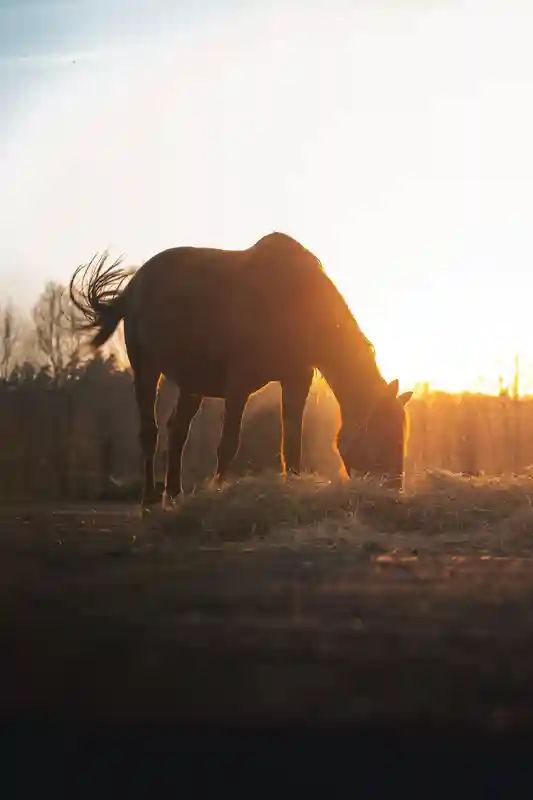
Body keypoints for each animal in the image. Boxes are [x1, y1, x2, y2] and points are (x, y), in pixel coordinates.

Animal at [69, 232, 413, 512]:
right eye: (379, 434)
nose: (393, 491)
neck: (294, 301)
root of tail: (133, 286)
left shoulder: (296, 380)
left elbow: (291, 441)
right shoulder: (239, 384)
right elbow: (228, 443)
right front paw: (219, 491)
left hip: (192, 383)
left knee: (177, 431)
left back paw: (175, 494)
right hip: (147, 369)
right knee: (148, 432)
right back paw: (150, 499)